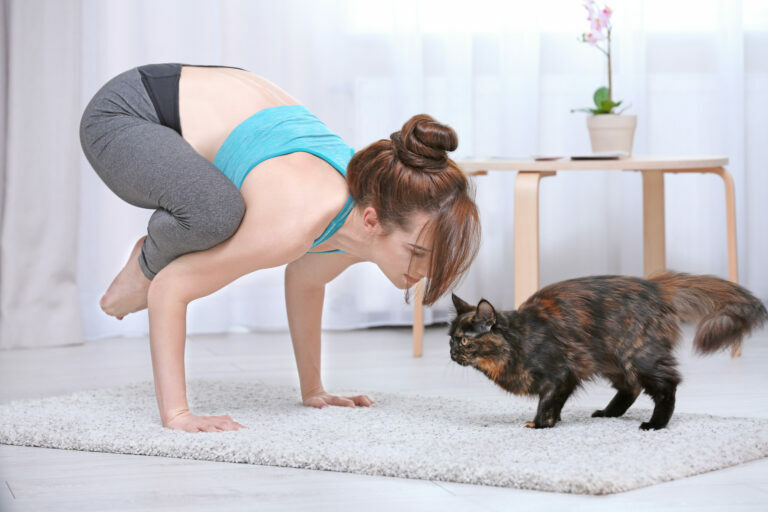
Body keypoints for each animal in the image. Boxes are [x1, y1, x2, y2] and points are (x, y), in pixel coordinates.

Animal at [450, 270, 768, 430]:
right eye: (451, 338)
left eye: (465, 340)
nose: (451, 353)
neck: (519, 340)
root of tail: (654, 287)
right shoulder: (571, 376)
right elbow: (556, 403)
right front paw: (554, 421)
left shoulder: (560, 373)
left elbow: (546, 402)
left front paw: (539, 424)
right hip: (611, 361)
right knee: (631, 389)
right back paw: (607, 413)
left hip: (638, 356)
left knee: (666, 387)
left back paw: (655, 424)